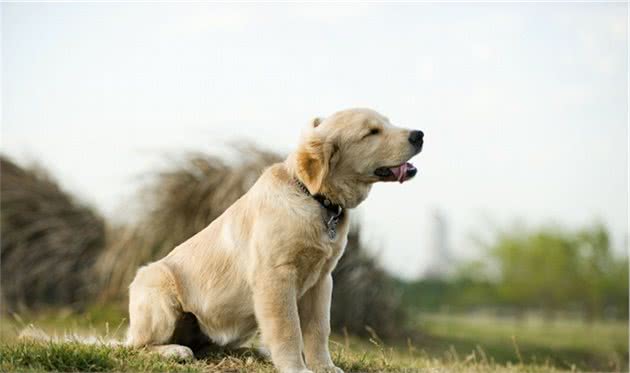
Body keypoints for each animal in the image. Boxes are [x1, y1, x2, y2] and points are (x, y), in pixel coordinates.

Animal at [126, 107, 428, 372]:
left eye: (387, 122)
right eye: (372, 132)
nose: (419, 134)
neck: (313, 197)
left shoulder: (322, 281)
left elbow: (319, 329)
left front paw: (324, 367)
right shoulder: (276, 277)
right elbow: (288, 328)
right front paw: (296, 368)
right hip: (159, 291)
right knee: (139, 346)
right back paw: (174, 350)